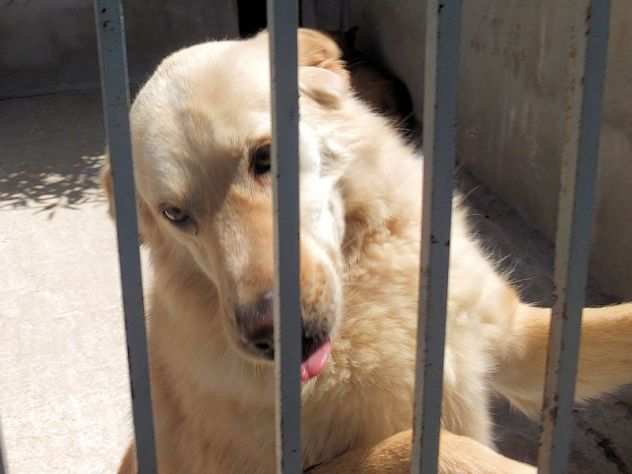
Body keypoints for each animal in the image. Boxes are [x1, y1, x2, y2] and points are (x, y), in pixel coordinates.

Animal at [101, 27, 632, 472]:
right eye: (174, 214)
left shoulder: (518, 344)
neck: (368, 293)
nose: (269, 338)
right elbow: (426, 445)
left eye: (265, 157)